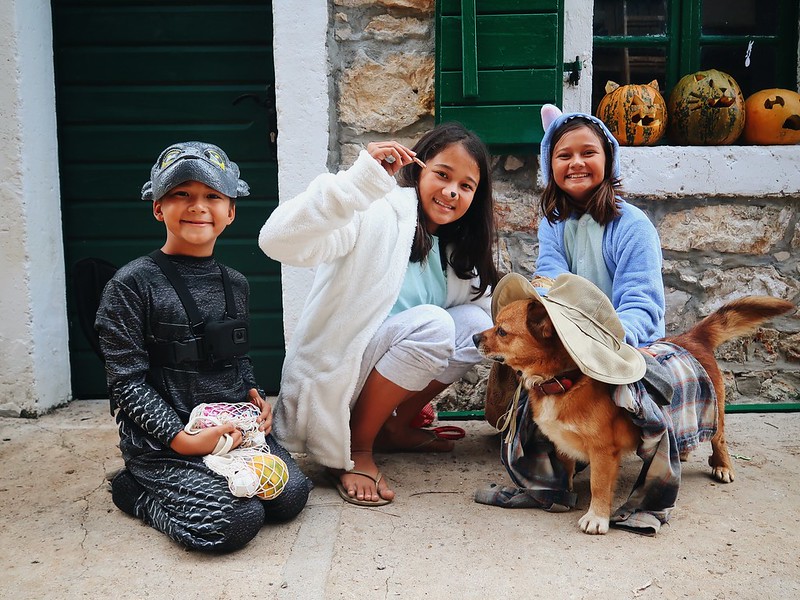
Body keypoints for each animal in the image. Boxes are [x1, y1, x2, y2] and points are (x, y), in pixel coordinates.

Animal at [476, 272, 792, 536]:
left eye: (502, 331)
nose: (474, 337)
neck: (568, 378)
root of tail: (692, 337)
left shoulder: (603, 451)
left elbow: (599, 485)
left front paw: (597, 517)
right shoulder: (562, 444)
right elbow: (564, 472)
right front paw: (560, 495)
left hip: (715, 414)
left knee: (720, 438)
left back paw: (723, 465)